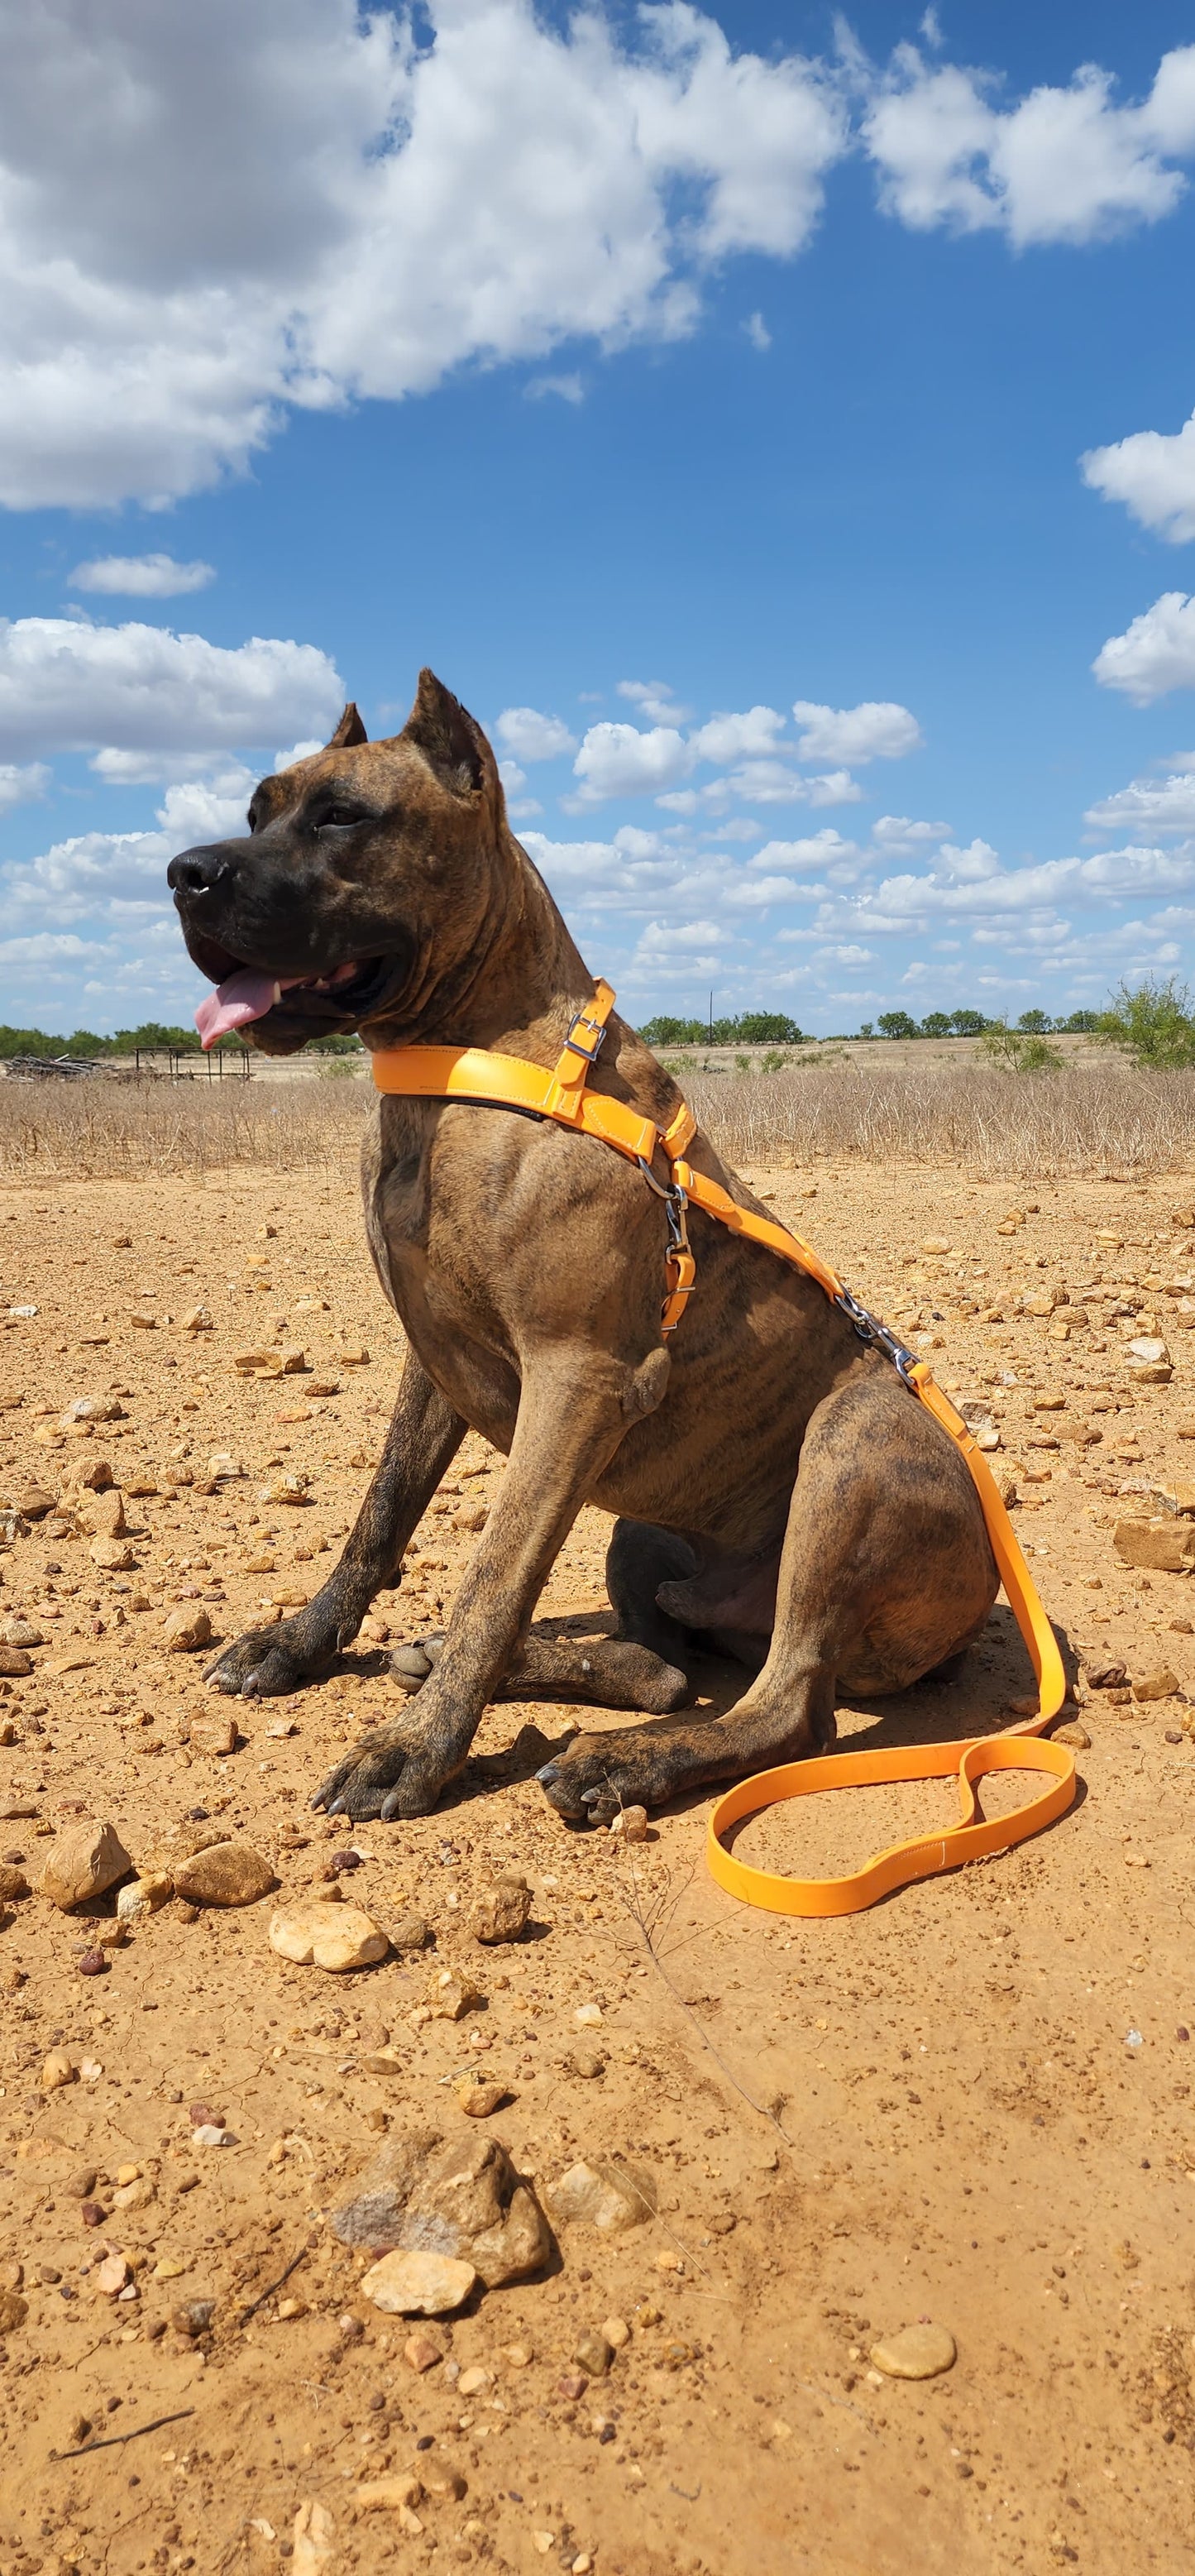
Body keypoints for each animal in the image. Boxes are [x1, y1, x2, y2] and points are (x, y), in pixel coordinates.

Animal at [163, 674, 994, 1823]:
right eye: (257, 810)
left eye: (341, 816)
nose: (184, 874)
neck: (467, 1058)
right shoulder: (433, 1362)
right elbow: (379, 1517)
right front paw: (301, 1644)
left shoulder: (577, 1385)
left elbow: (495, 1573)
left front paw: (415, 1751)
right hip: (644, 1531)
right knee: (666, 1668)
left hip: (853, 1446)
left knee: (787, 1707)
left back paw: (618, 1762)